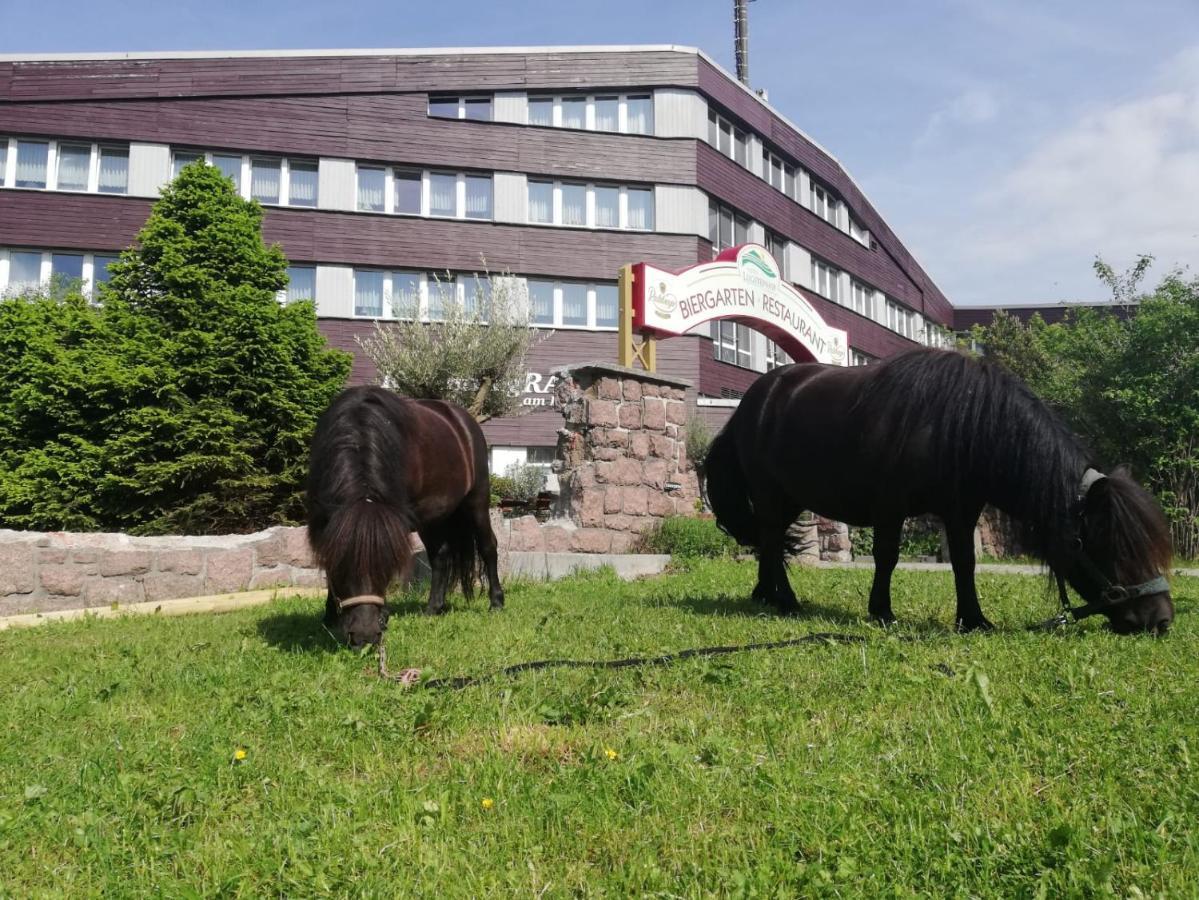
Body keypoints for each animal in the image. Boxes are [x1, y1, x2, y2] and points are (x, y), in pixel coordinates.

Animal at [306, 388, 503, 647]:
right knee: (440, 557)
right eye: (342, 564)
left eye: (387, 565)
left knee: (488, 547)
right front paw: (329, 616)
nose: (365, 635)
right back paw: (433, 608)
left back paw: (496, 602)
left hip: (476, 502)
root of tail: (464, 421)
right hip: (432, 517)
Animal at [705, 347, 1175, 637]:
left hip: (790, 499)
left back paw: (765, 594)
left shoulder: (962, 509)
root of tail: (750, 402)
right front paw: (882, 611)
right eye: (1107, 544)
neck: (961, 424)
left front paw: (973, 619)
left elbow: (965, 562)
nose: (1162, 619)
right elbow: (888, 557)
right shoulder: (889, 507)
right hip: (770, 494)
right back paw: (785, 600)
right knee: (771, 539)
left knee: (768, 540)